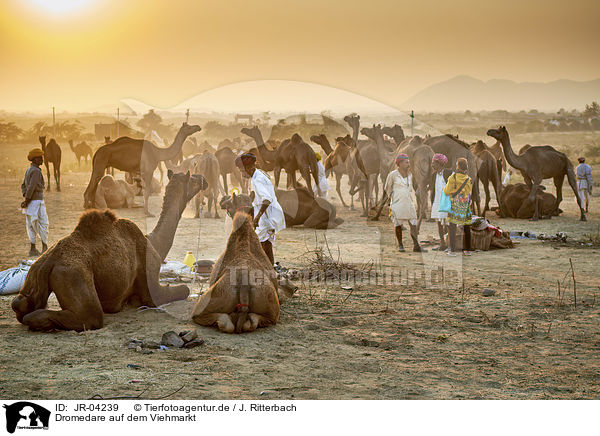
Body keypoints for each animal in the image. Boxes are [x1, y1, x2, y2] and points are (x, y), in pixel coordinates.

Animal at [12, 170, 209, 330]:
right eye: (192, 178)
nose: (204, 179)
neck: (154, 243)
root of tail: (48, 262)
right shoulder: (151, 289)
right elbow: (183, 289)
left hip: (33, 274)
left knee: (20, 303)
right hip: (73, 275)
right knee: (90, 316)